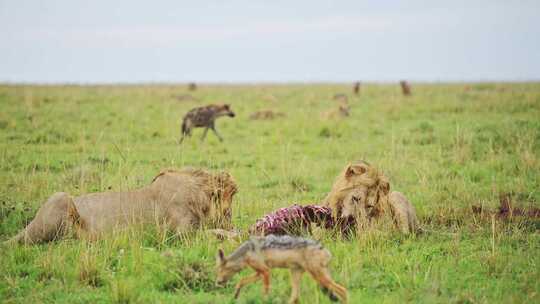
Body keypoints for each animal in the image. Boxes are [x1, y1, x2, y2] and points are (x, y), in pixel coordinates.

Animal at [7, 167, 236, 243]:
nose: (231, 221)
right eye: (229, 208)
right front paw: (230, 234)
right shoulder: (180, 234)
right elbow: (210, 233)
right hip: (61, 198)